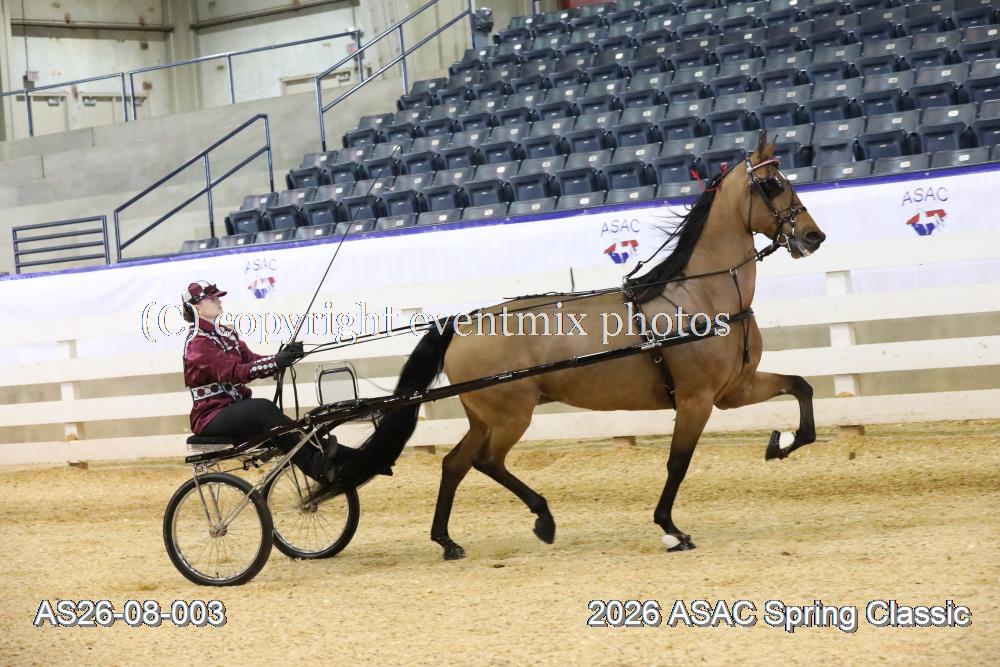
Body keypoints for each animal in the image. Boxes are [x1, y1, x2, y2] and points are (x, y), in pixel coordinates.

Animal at [339, 131, 827, 560]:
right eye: (772, 183)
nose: (813, 236)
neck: (701, 296)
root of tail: (464, 322)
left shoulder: (734, 390)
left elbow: (801, 386)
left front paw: (781, 443)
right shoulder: (696, 399)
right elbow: (678, 463)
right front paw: (671, 530)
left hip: (484, 416)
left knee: (456, 463)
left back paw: (447, 541)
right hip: (512, 416)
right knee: (487, 462)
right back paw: (543, 519)